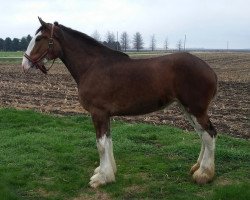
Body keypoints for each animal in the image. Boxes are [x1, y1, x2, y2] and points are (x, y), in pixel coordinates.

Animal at [22, 17, 217, 188]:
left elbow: (101, 145)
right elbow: (108, 142)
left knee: (209, 134)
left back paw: (203, 174)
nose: (24, 64)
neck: (92, 66)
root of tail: (209, 70)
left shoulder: (98, 113)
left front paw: (101, 179)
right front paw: (108, 172)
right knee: (202, 134)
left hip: (196, 109)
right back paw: (197, 167)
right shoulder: (105, 115)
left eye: (39, 38)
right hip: (187, 109)